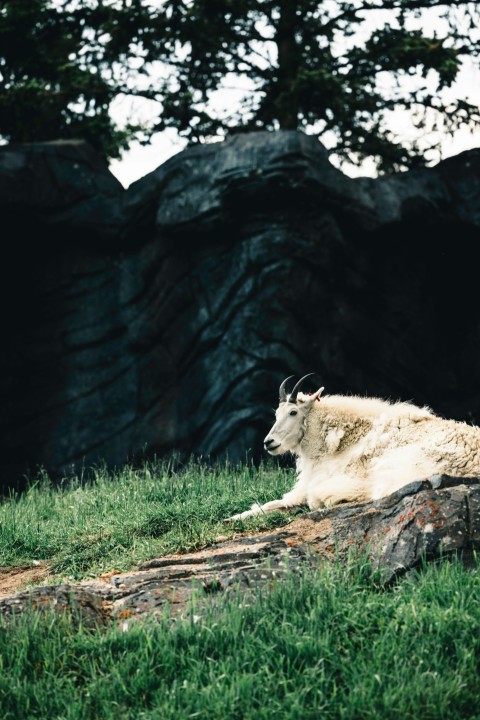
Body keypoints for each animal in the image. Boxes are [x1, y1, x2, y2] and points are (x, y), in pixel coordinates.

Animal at [227, 373, 480, 521]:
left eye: (293, 412)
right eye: (276, 414)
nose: (268, 442)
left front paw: (235, 517)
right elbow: (275, 503)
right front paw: (235, 516)